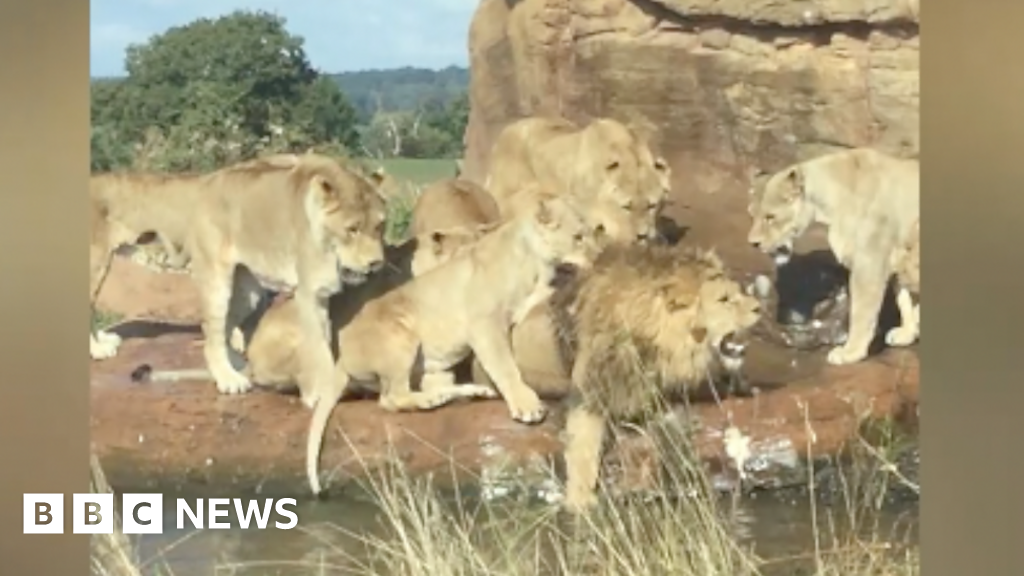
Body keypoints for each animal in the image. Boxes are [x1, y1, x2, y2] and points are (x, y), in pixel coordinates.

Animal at [303, 187, 606, 494]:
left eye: (593, 233)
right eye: (578, 236)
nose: (600, 257)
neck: (538, 264)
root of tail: (341, 358)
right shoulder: (485, 323)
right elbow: (505, 366)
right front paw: (526, 405)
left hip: (435, 367)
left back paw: (470, 392)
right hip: (400, 333)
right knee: (391, 398)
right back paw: (433, 400)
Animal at [552, 239, 761, 508]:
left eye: (738, 292)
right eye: (724, 299)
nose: (759, 308)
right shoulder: (590, 388)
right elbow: (582, 446)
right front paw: (580, 501)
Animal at [745, 147, 921, 362]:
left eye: (770, 217)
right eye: (752, 215)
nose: (753, 243)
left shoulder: (868, 267)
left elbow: (861, 313)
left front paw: (850, 353)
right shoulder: (895, 259)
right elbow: (904, 299)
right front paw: (908, 333)